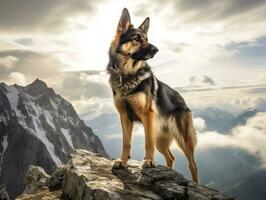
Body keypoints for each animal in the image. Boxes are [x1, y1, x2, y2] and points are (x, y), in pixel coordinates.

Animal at [107, 8, 198, 183]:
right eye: (137, 38)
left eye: (147, 39)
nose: (156, 50)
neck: (128, 75)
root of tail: (183, 101)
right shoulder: (124, 116)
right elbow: (126, 143)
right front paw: (123, 161)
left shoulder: (147, 116)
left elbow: (147, 143)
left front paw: (148, 161)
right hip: (160, 138)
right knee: (171, 157)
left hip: (183, 140)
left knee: (193, 165)